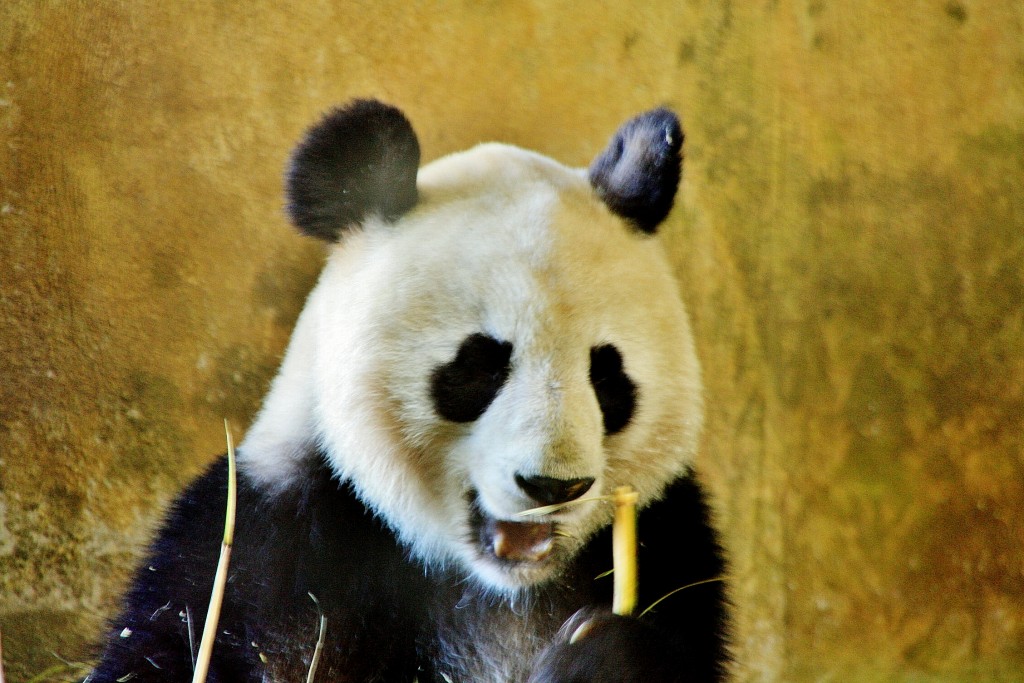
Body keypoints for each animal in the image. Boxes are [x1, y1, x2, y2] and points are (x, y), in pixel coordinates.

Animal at [90, 98, 729, 679]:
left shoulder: (676, 547)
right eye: (479, 366)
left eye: (606, 374)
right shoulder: (263, 549)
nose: (554, 485)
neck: (491, 585)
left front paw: (602, 656)